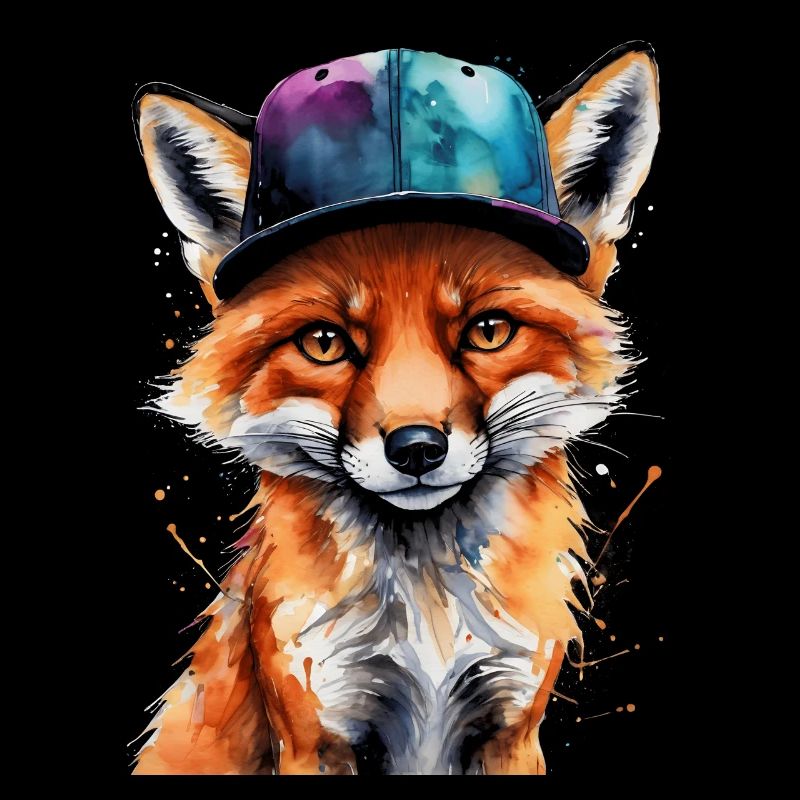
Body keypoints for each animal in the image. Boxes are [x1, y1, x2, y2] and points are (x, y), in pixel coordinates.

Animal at [132, 43, 660, 775]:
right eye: (325, 343)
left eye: (488, 331)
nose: (416, 449)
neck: (428, 621)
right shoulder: (316, 734)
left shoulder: (511, 727)